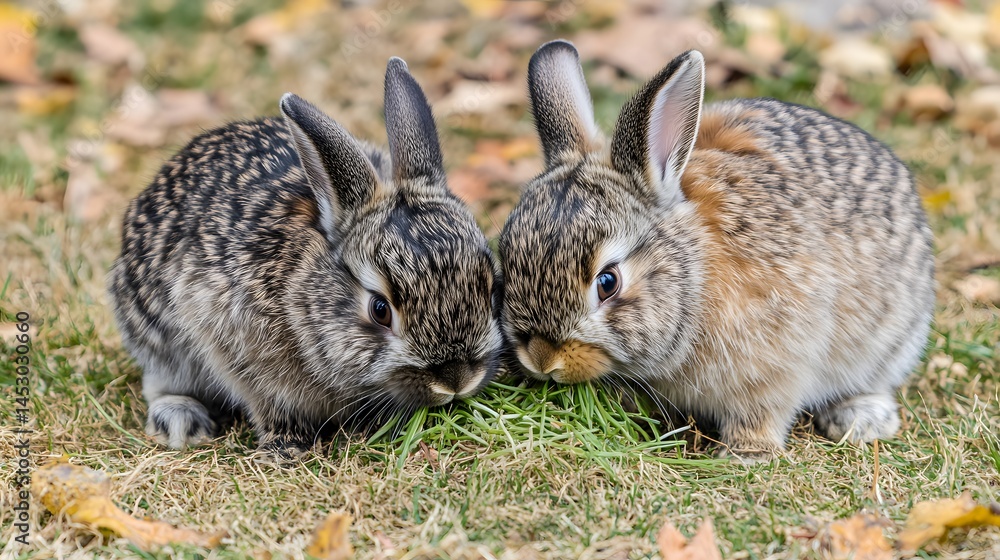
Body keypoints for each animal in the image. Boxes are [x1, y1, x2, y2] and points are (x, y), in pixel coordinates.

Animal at [108, 58, 502, 458]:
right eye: (380, 310)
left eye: (490, 289)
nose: (455, 380)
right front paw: (286, 446)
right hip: (156, 335)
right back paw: (180, 419)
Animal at [498, 40, 934, 460]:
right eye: (506, 257)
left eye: (608, 282)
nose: (542, 361)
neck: (693, 274)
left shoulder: (776, 365)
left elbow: (761, 412)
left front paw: (746, 454)